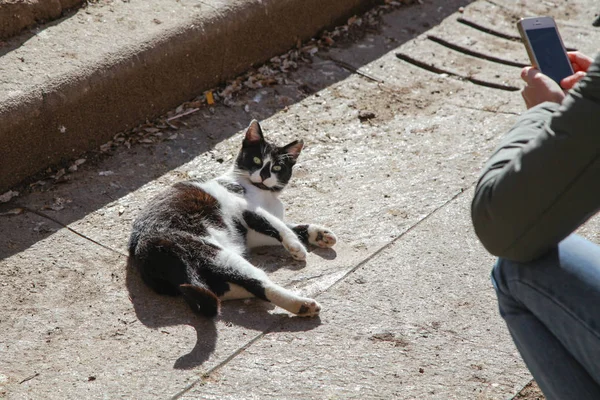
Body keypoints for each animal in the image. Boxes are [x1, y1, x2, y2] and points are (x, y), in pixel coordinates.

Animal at [128, 119, 338, 318]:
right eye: (256, 159)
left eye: (277, 167)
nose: (264, 174)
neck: (265, 195)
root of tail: (145, 252)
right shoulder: (244, 207)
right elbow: (278, 225)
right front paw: (296, 247)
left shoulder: (251, 235)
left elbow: (285, 226)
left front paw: (319, 234)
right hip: (212, 253)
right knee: (258, 283)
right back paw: (301, 305)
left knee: (229, 289)